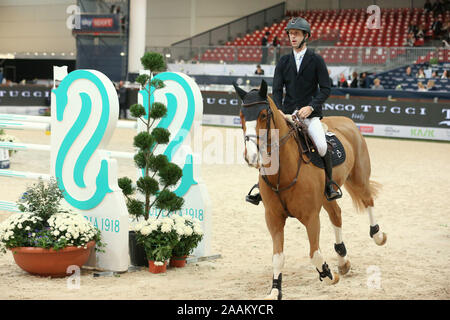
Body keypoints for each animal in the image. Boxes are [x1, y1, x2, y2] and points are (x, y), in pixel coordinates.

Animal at [234, 80, 384, 300]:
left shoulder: (311, 216)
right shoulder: (273, 218)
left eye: (263, 115)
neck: (283, 172)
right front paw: (275, 290)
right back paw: (343, 261)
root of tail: (347, 121)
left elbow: (314, 254)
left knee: (368, 200)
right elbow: (278, 257)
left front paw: (328, 275)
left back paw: (378, 235)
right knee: (337, 214)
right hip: (326, 196)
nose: (251, 156)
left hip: (358, 178)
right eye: (241, 115)